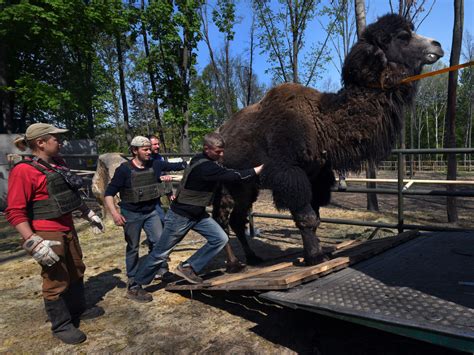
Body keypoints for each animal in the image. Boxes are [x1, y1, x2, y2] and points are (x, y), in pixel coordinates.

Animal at [213, 13, 442, 266]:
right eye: (402, 36)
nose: (437, 45)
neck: (320, 122)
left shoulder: (317, 177)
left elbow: (316, 217)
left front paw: (317, 253)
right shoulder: (289, 173)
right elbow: (306, 218)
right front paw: (315, 258)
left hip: (245, 186)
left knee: (235, 219)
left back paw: (253, 258)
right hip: (226, 183)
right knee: (222, 220)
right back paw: (235, 265)